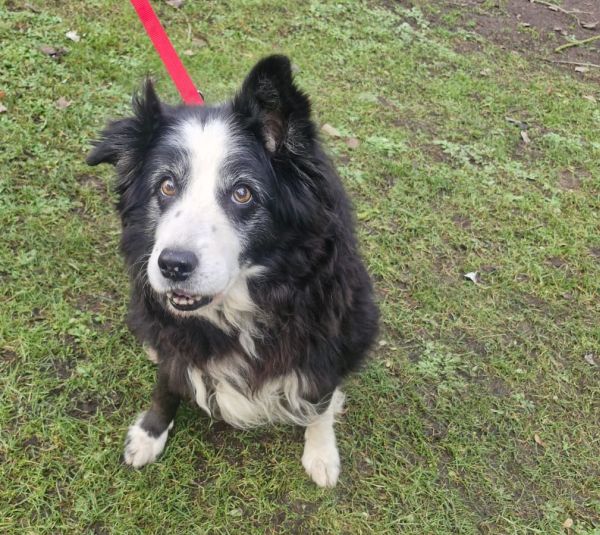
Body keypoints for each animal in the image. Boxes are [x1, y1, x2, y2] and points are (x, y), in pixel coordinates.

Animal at [87, 55, 378, 487]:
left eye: (243, 193)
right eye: (166, 186)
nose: (172, 265)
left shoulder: (328, 335)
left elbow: (320, 397)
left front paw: (322, 451)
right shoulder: (172, 333)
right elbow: (166, 383)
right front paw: (149, 434)